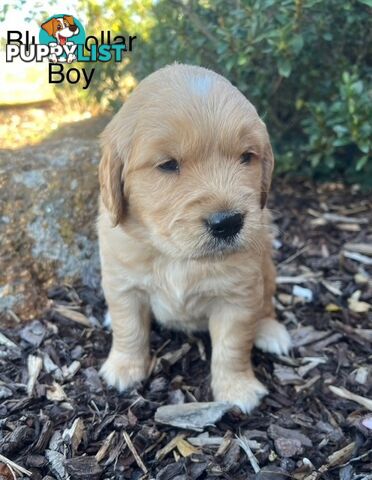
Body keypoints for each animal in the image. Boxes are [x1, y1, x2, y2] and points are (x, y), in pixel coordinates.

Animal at [98, 62, 290, 412]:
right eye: (168, 165)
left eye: (247, 156)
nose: (229, 222)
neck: (177, 256)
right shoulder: (123, 285)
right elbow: (128, 328)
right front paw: (124, 368)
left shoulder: (238, 297)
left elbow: (232, 346)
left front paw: (237, 389)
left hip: (267, 270)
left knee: (267, 304)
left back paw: (270, 331)